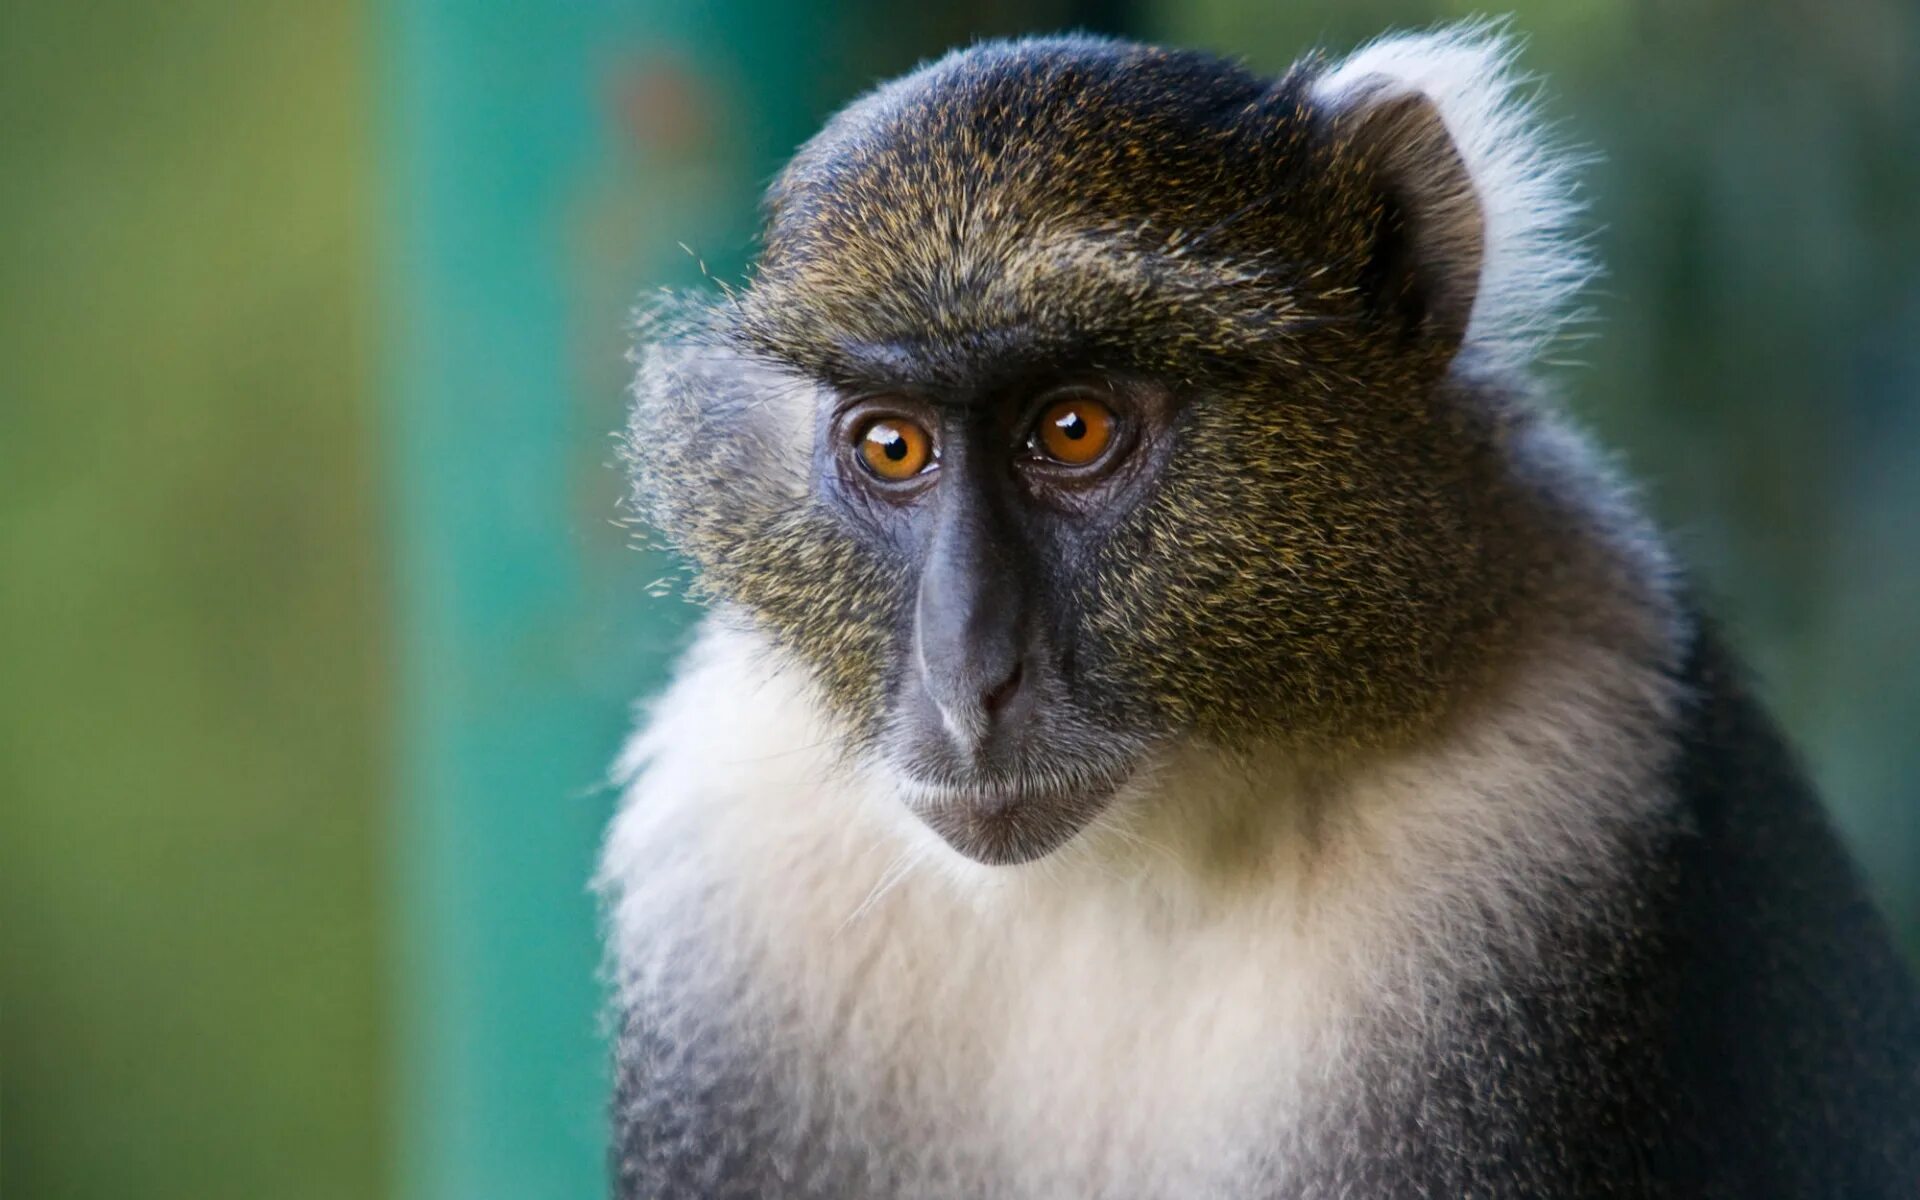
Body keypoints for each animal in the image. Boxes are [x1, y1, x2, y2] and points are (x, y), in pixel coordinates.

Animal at [599, 21, 1920, 1198]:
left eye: (1072, 428)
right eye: (892, 445)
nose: (969, 681)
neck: (1125, 868)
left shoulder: (1560, 819)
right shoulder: (724, 866)